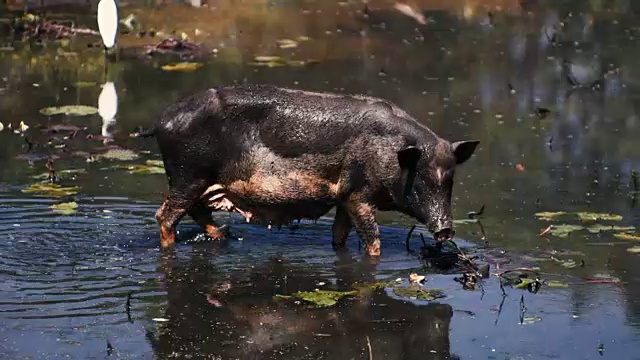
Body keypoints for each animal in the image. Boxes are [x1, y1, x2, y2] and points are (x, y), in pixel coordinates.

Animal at [151, 85, 480, 256]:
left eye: (450, 180)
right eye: (420, 180)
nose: (446, 230)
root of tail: (162, 119)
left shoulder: (344, 196)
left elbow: (340, 235)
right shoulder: (358, 194)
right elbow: (372, 239)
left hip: (201, 182)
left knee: (196, 212)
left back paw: (221, 236)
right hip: (187, 174)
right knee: (165, 215)